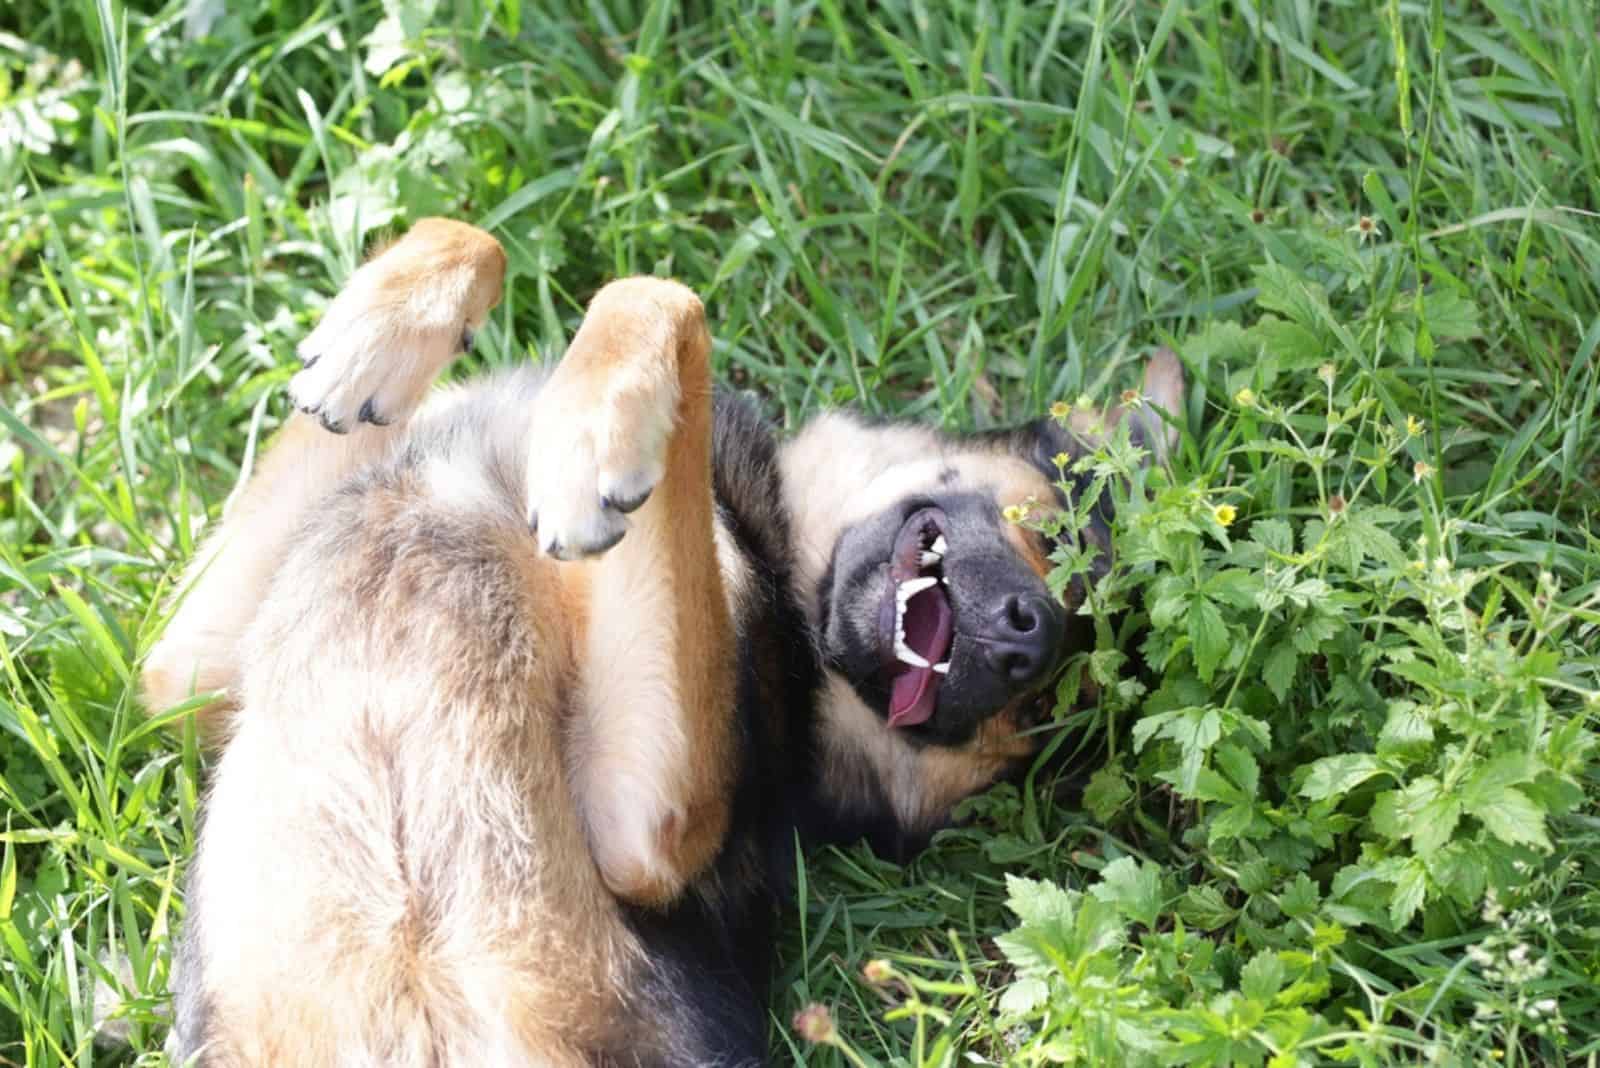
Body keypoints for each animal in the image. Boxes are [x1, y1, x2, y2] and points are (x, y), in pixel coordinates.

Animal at [144, 219, 1184, 1068]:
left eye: (1039, 709)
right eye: (1058, 542)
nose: (1028, 642)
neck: (781, 566)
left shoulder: (645, 829)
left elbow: (661, 297)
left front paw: (591, 435)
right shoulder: (187, 677)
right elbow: (485, 238)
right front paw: (377, 339)